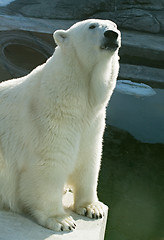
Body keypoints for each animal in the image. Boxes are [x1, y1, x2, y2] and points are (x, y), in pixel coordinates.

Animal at [0, 19, 120, 232]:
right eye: (92, 26)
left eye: (114, 25)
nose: (112, 35)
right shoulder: (49, 118)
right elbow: (49, 165)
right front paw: (61, 220)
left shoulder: (93, 121)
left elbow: (89, 159)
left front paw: (93, 208)